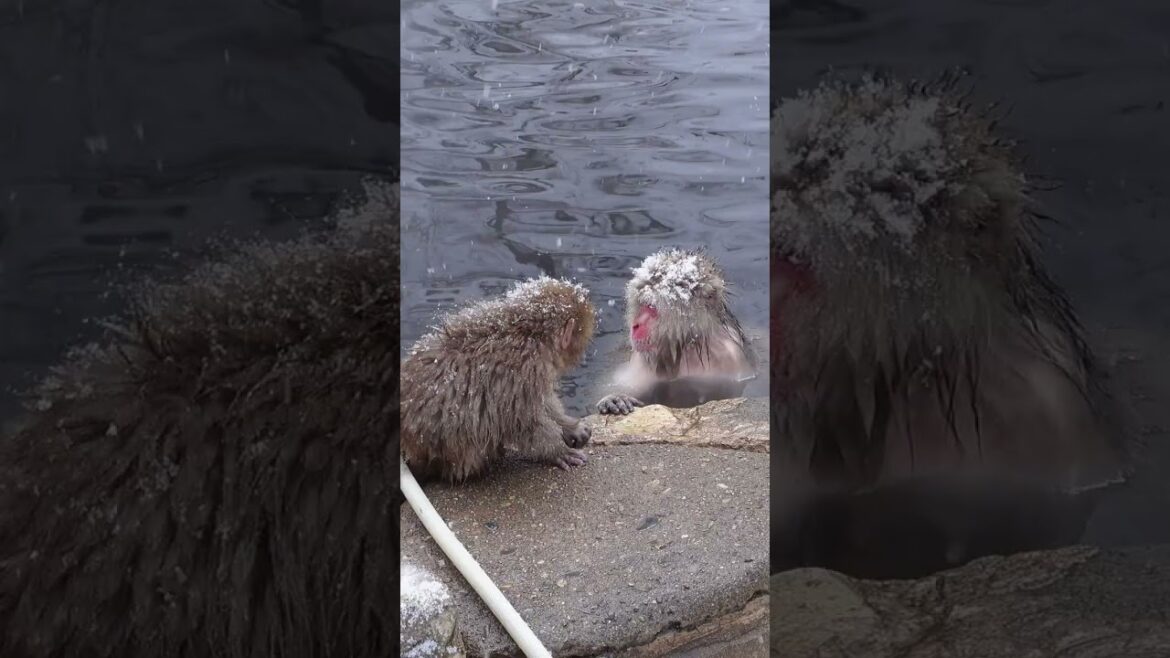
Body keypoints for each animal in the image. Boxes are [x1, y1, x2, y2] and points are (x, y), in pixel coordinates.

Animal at [401, 276, 597, 483]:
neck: (529, 334)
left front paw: (570, 426)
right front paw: (557, 450)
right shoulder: (523, 370)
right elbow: (523, 422)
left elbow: (543, 402)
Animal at [596, 248, 758, 415]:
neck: (690, 344)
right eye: (642, 304)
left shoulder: (731, 357)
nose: (636, 325)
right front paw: (614, 398)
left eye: (651, 307)